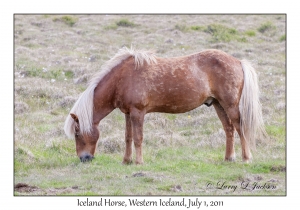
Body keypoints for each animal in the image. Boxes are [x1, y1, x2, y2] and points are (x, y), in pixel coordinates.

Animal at [64, 47, 266, 164]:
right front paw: (126, 160)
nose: (84, 158)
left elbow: (138, 138)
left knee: (239, 128)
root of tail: (238, 61)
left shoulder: (138, 113)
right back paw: (228, 158)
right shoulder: (128, 114)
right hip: (218, 104)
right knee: (229, 129)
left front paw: (138, 162)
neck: (123, 77)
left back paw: (246, 158)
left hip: (230, 105)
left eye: (77, 133)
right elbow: (128, 138)